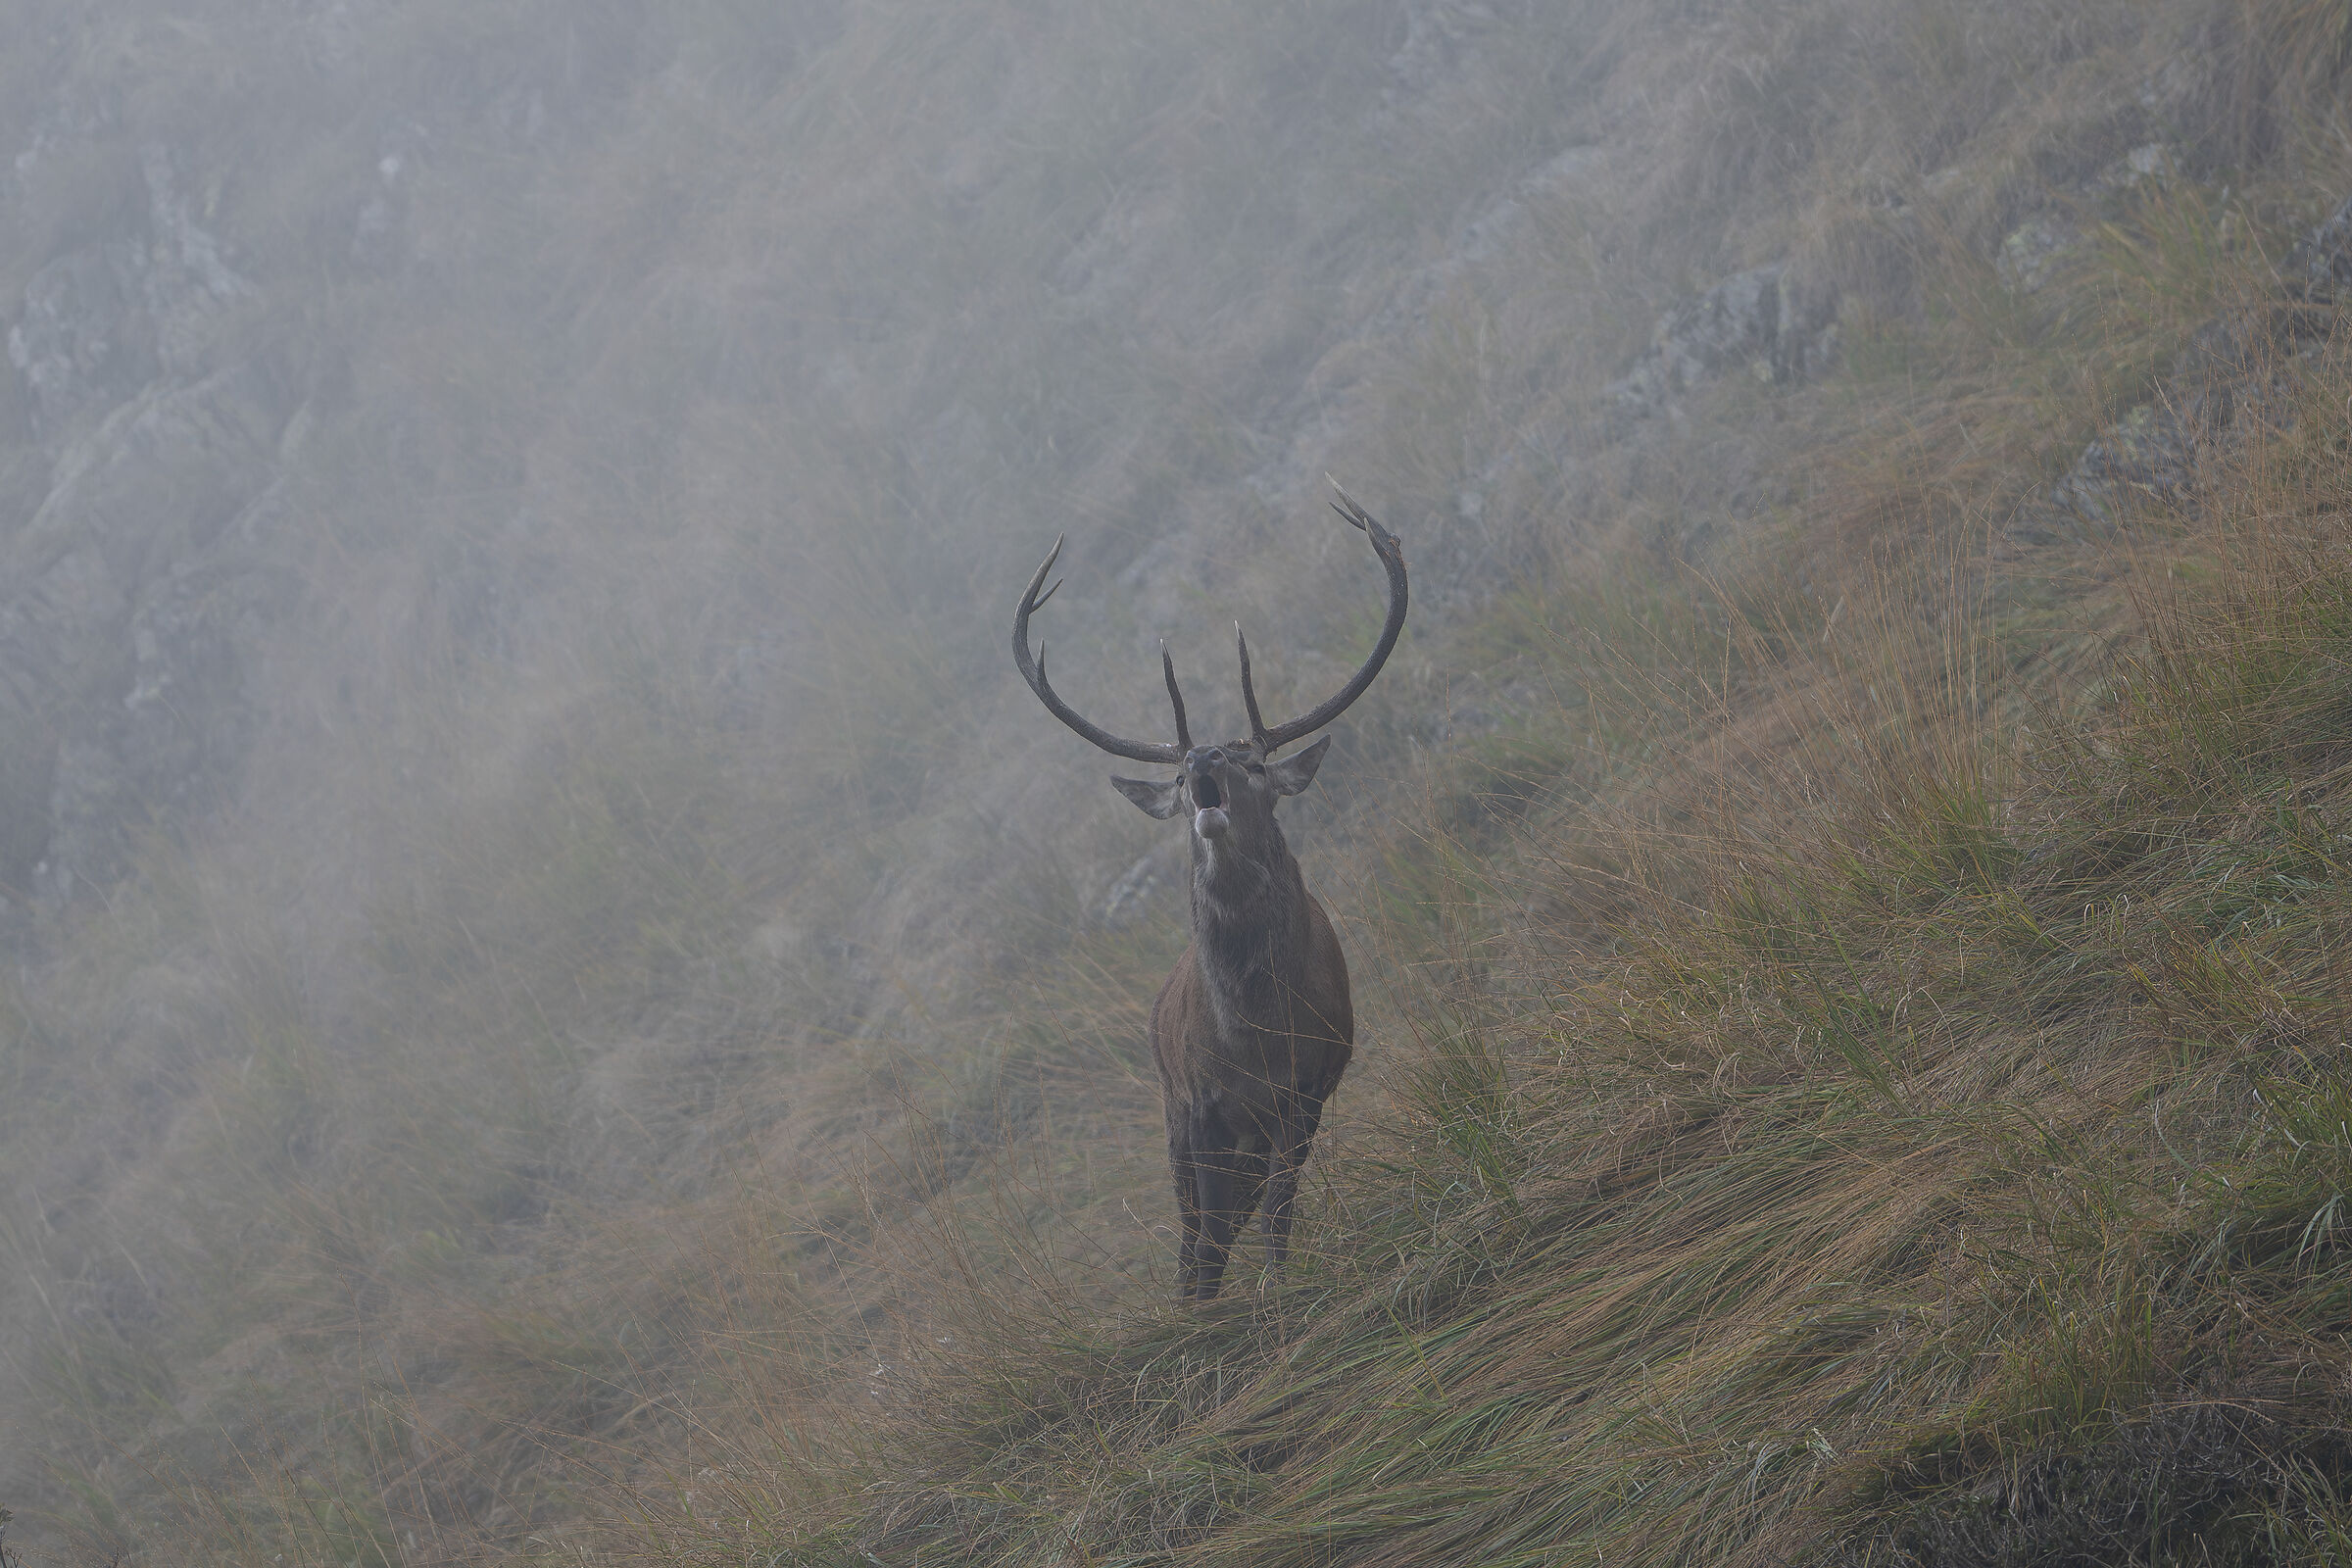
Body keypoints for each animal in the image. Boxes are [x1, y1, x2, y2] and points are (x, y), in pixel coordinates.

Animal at [1012, 488, 1408, 1300]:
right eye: (1174, 773)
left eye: (1254, 765)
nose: (1202, 761)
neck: (1254, 1036)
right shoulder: (1199, 1105)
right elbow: (1204, 1237)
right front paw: (1207, 1309)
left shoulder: (1306, 1090)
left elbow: (1278, 1213)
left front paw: (1280, 1289)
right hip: (1175, 1115)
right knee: (1198, 1235)